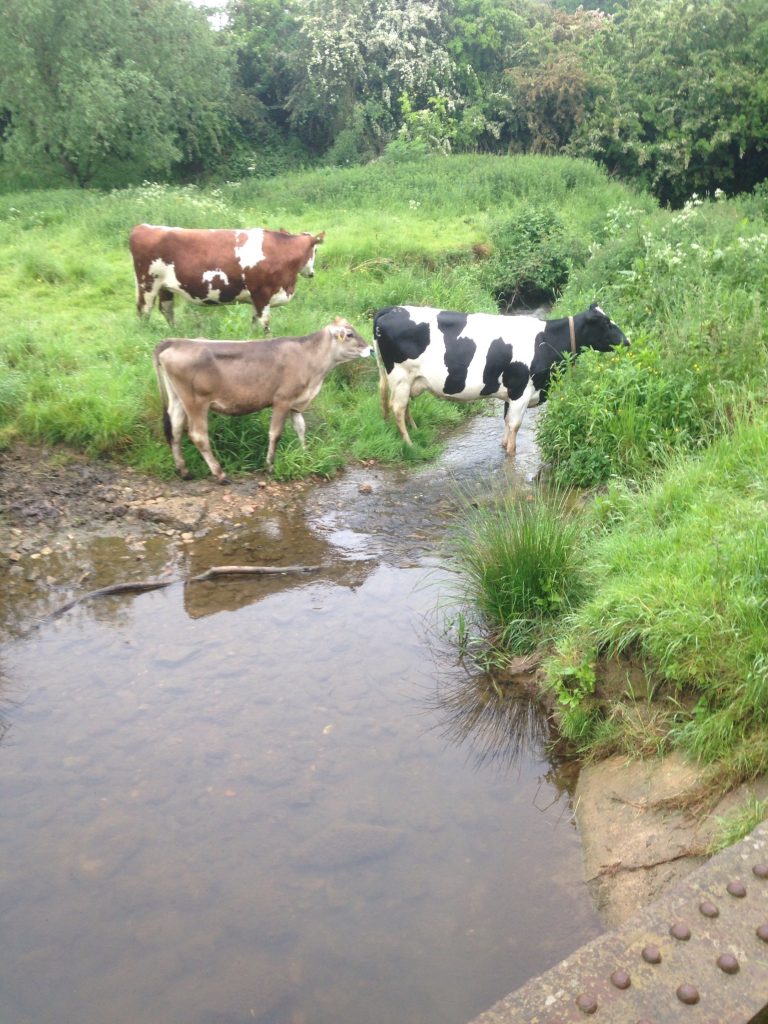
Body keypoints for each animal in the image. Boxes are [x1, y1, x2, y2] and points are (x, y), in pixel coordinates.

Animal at [129, 224, 325, 330]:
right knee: (144, 311)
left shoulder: (256, 298)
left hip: (164, 286)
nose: (311, 273)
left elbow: (254, 322)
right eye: (315, 250)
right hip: (147, 284)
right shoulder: (262, 294)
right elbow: (264, 322)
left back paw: (175, 332)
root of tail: (144, 227)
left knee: (166, 309)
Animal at [153, 318, 372, 482]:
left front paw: (305, 455)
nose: (370, 349)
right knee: (198, 435)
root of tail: (177, 341)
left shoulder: (296, 404)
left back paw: (184, 471)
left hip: (177, 398)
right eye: (350, 334)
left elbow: (301, 428)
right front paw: (270, 466)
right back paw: (220, 474)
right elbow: (275, 434)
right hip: (196, 401)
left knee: (175, 429)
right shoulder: (282, 400)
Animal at [373, 303, 628, 454]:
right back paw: (409, 443)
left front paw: (503, 445)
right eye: (605, 322)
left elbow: (506, 423)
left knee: (403, 406)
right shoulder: (521, 391)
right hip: (401, 376)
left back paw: (415, 431)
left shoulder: (512, 392)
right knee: (397, 408)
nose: (627, 341)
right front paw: (510, 453)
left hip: (408, 379)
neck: (546, 340)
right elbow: (515, 425)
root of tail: (390, 309)